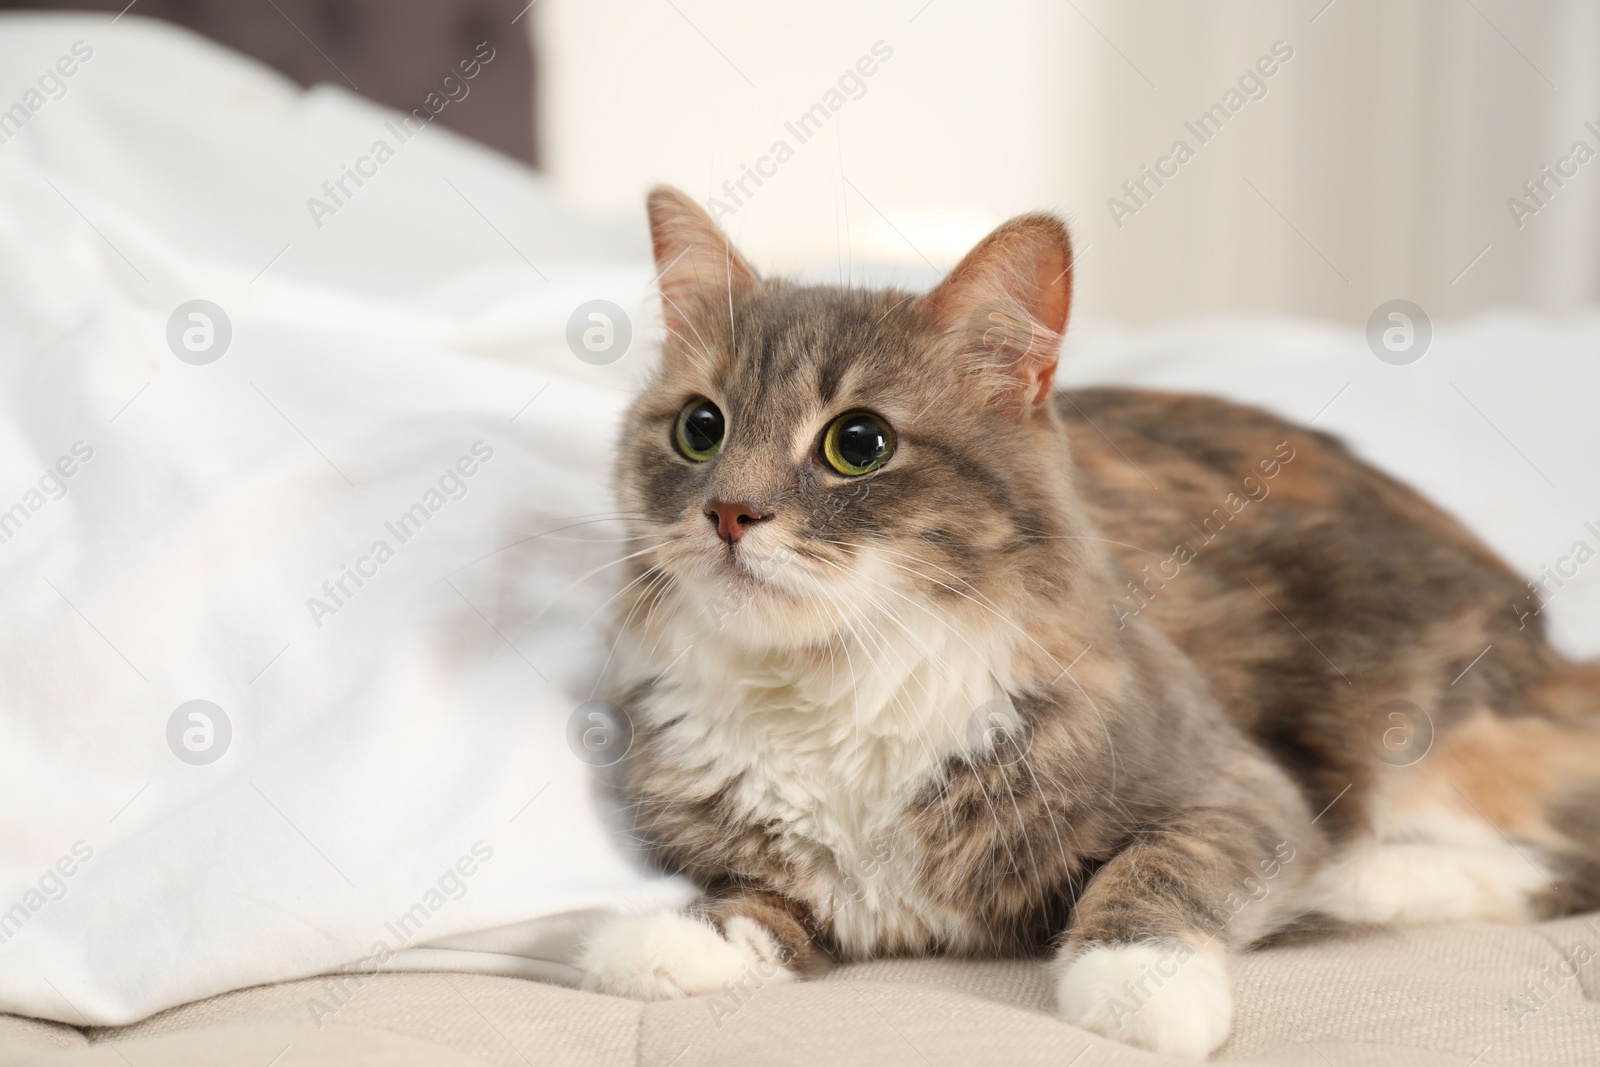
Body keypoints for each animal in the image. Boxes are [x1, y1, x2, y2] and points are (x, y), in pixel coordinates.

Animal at [576, 185, 1600, 1062]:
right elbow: (757, 901)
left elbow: (1152, 871)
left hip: (1428, 735)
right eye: (701, 428)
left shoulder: (1238, 790)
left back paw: (1367, 879)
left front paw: (1142, 985)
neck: (835, 683)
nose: (728, 512)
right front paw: (669, 941)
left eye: (857, 444)